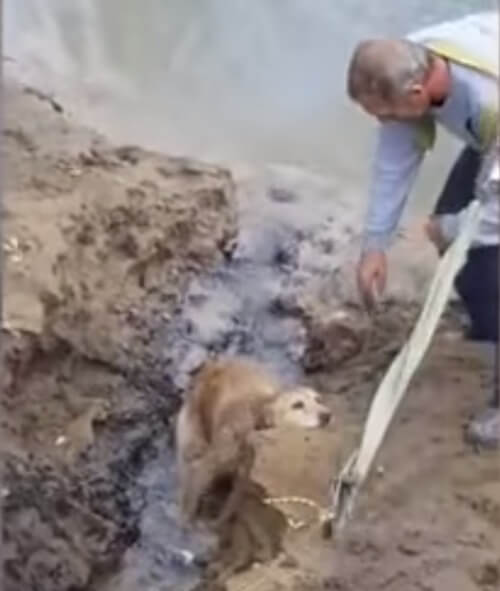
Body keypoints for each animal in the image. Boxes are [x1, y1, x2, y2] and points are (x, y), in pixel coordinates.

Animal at [176, 356, 332, 532]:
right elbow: (195, 488)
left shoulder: (245, 474)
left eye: (318, 399)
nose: (327, 415)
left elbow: (232, 502)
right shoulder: (212, 460)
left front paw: (219, 522)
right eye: (297, 405)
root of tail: (213, 363)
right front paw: (187, 518)